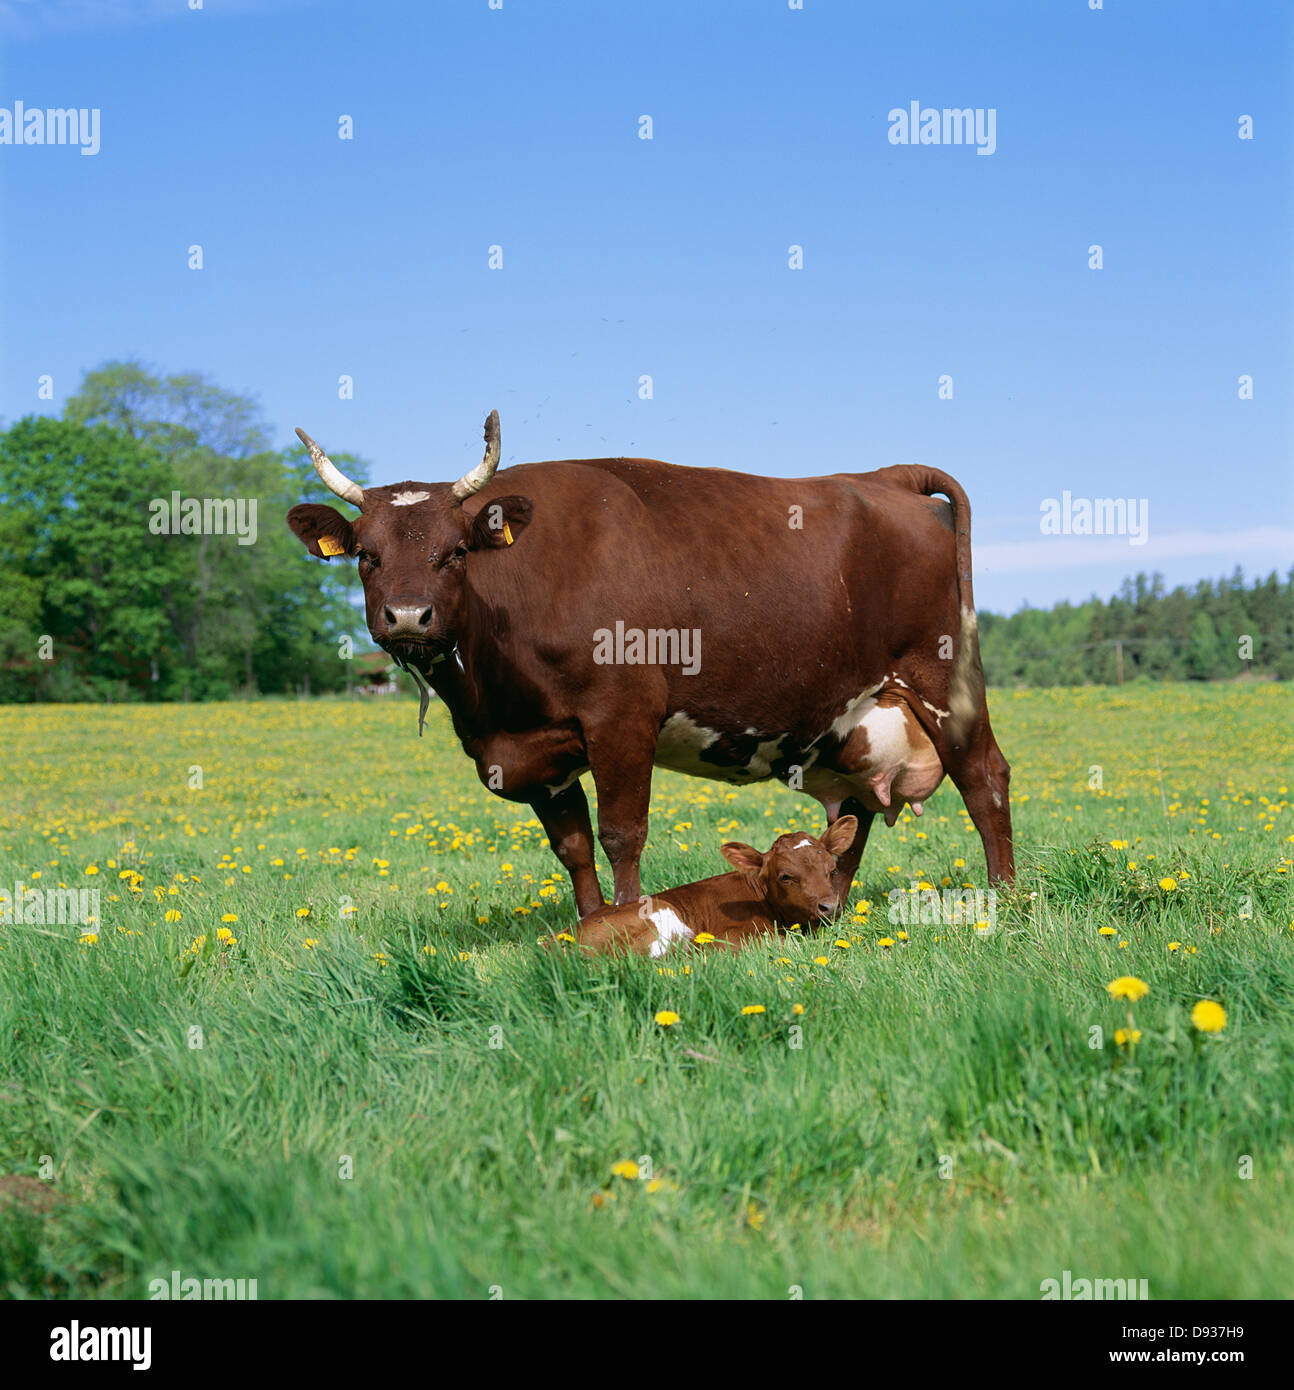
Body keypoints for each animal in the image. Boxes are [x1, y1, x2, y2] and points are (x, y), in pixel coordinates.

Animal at [289, 405, 1017, 917]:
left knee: (984, 778)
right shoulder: (540, 752)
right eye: (366, 554)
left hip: (943, 681)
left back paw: (1005, 899)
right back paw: (830, 906)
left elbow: (621, 835)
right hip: (852, 718)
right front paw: (588, 927)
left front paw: (628, 922)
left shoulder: (622, 718)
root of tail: (881, 479)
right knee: (853, 815)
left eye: (456, 552)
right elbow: (573, 846)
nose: (409, 616)